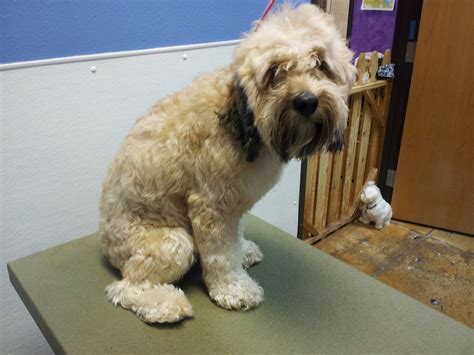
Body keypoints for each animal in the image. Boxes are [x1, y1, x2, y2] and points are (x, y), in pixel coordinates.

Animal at [103, 3, 356, 326]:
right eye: (275, 71)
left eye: (321, 64)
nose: (306, 101)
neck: (244, 124)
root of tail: (107, 247)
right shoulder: (211, 207)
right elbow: (220, 255)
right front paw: (233, 289)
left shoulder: (235, 204)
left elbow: (234, 241)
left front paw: (242, 251)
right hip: (172, 242)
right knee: (125, 287)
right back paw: (165, 304)